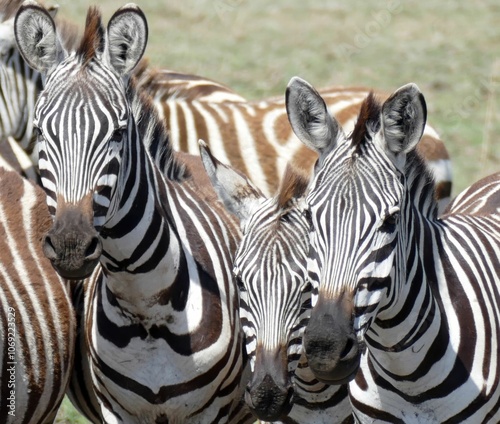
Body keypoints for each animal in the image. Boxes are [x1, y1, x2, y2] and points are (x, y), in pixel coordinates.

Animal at [15, 2, 254, 420]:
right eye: (42, 132)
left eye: (118, 133)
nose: (71, 247)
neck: (145, 302)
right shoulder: (116, 410)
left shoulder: (210, 413)